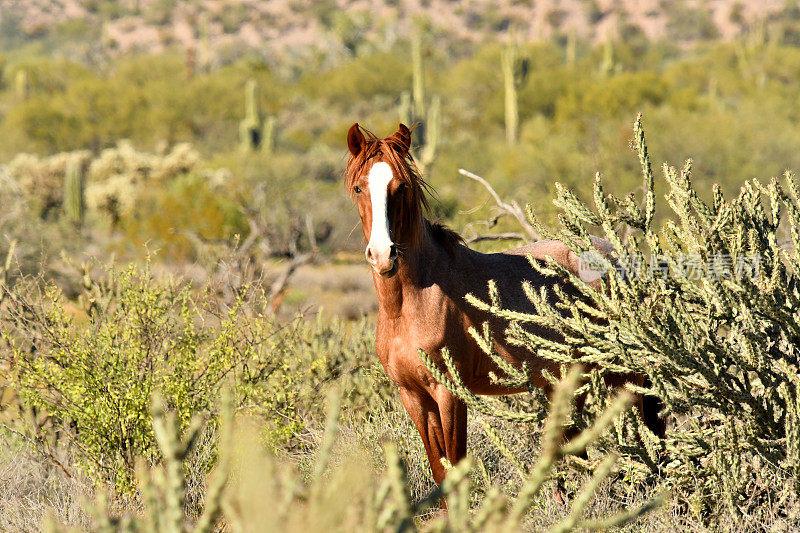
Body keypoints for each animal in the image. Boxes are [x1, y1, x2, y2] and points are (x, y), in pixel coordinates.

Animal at [346, 123, 652, 486]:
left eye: (401, 186)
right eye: (359, 187)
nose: (383, 256)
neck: (410, 305)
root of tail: (618, 257)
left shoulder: (450, 393)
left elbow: (455, 468)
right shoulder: (414, 396)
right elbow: (440, 471)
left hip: (624, 378)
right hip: (568, 382)